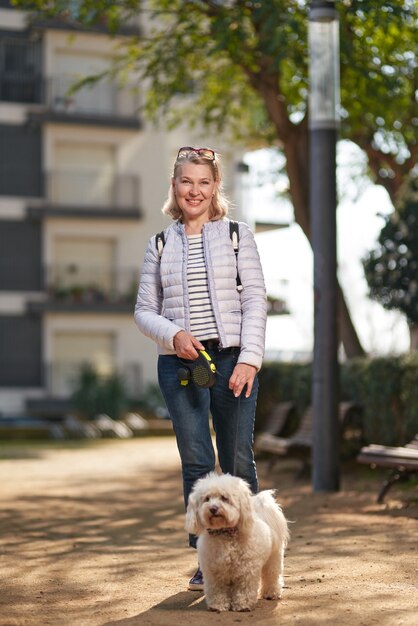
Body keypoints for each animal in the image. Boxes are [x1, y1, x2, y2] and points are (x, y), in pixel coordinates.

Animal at [185, 472, 290, 608]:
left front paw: (242, 604)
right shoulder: (214, 571)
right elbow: (217, 589)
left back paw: (271, 593)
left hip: (273, 558)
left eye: (224, 498)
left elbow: (244, 588)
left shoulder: (246, 570)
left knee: (272, 576)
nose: (213, 508)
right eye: (207, 499)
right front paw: (218, 604)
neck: (224, 533)